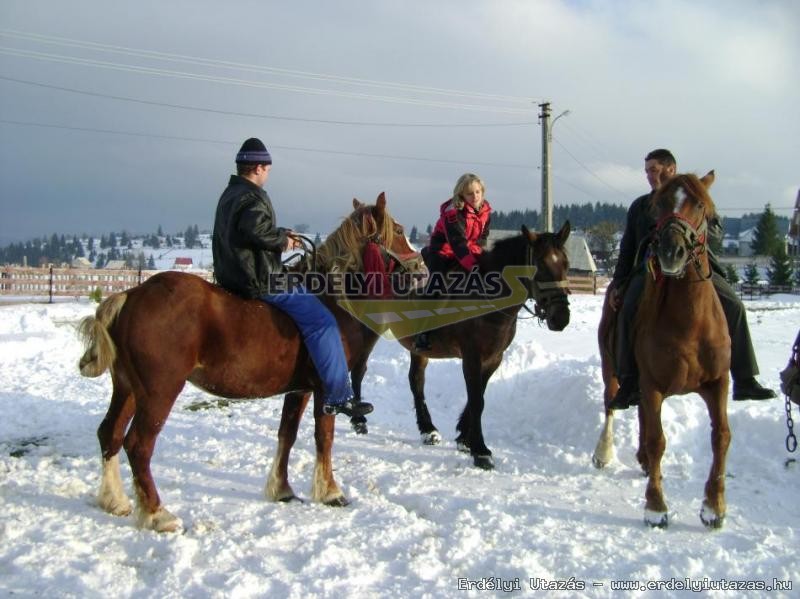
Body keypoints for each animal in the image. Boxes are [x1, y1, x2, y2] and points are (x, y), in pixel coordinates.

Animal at [76, 195, 424, 532]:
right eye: (399, 230)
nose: (422, 269)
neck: (331, 297)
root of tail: (132, 295)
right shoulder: (326, 390)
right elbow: (323, 438)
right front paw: (330, 491)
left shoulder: (299, 390)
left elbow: (287, 435)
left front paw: (281, 488)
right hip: (159, 392)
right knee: (138, 445)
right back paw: (157, 514)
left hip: (127, 388)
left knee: (110, 434)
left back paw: (114, 500)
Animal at [354, 220, 572, 468]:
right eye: (540, 265)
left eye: (566, 264)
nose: (561, 317)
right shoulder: (471, 357)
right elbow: (477, 400)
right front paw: (480, 450)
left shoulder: (493, 358)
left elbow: (478, 397)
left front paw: (464, 438)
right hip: (370, 329)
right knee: (359, 369)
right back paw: (358, 419)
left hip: (418, 349)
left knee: (416, 381)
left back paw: (428, 429)